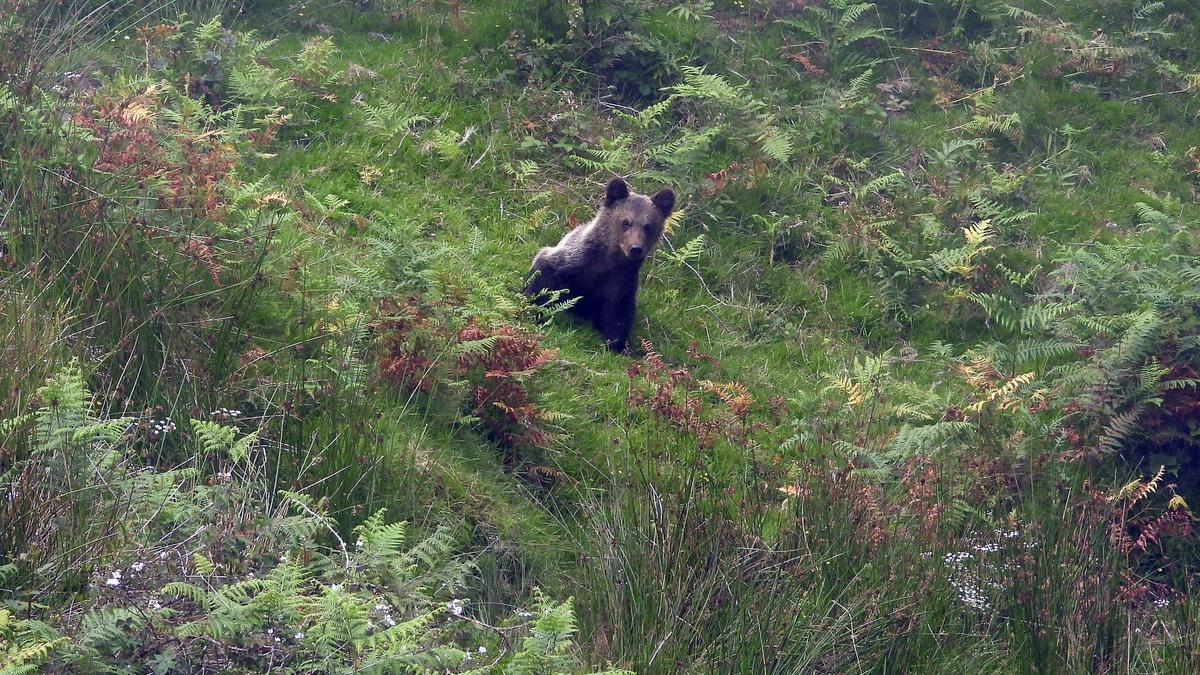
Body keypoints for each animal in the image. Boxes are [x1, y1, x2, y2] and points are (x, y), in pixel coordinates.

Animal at [525, 176, 676, 348]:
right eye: (626, 221)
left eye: (648, 226)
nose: (635, 248)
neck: (608, 261)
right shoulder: (573, 262)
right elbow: (544, 275)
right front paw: (533, 305)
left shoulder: (621, 281)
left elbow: (618, 314)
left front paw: (615, 344)